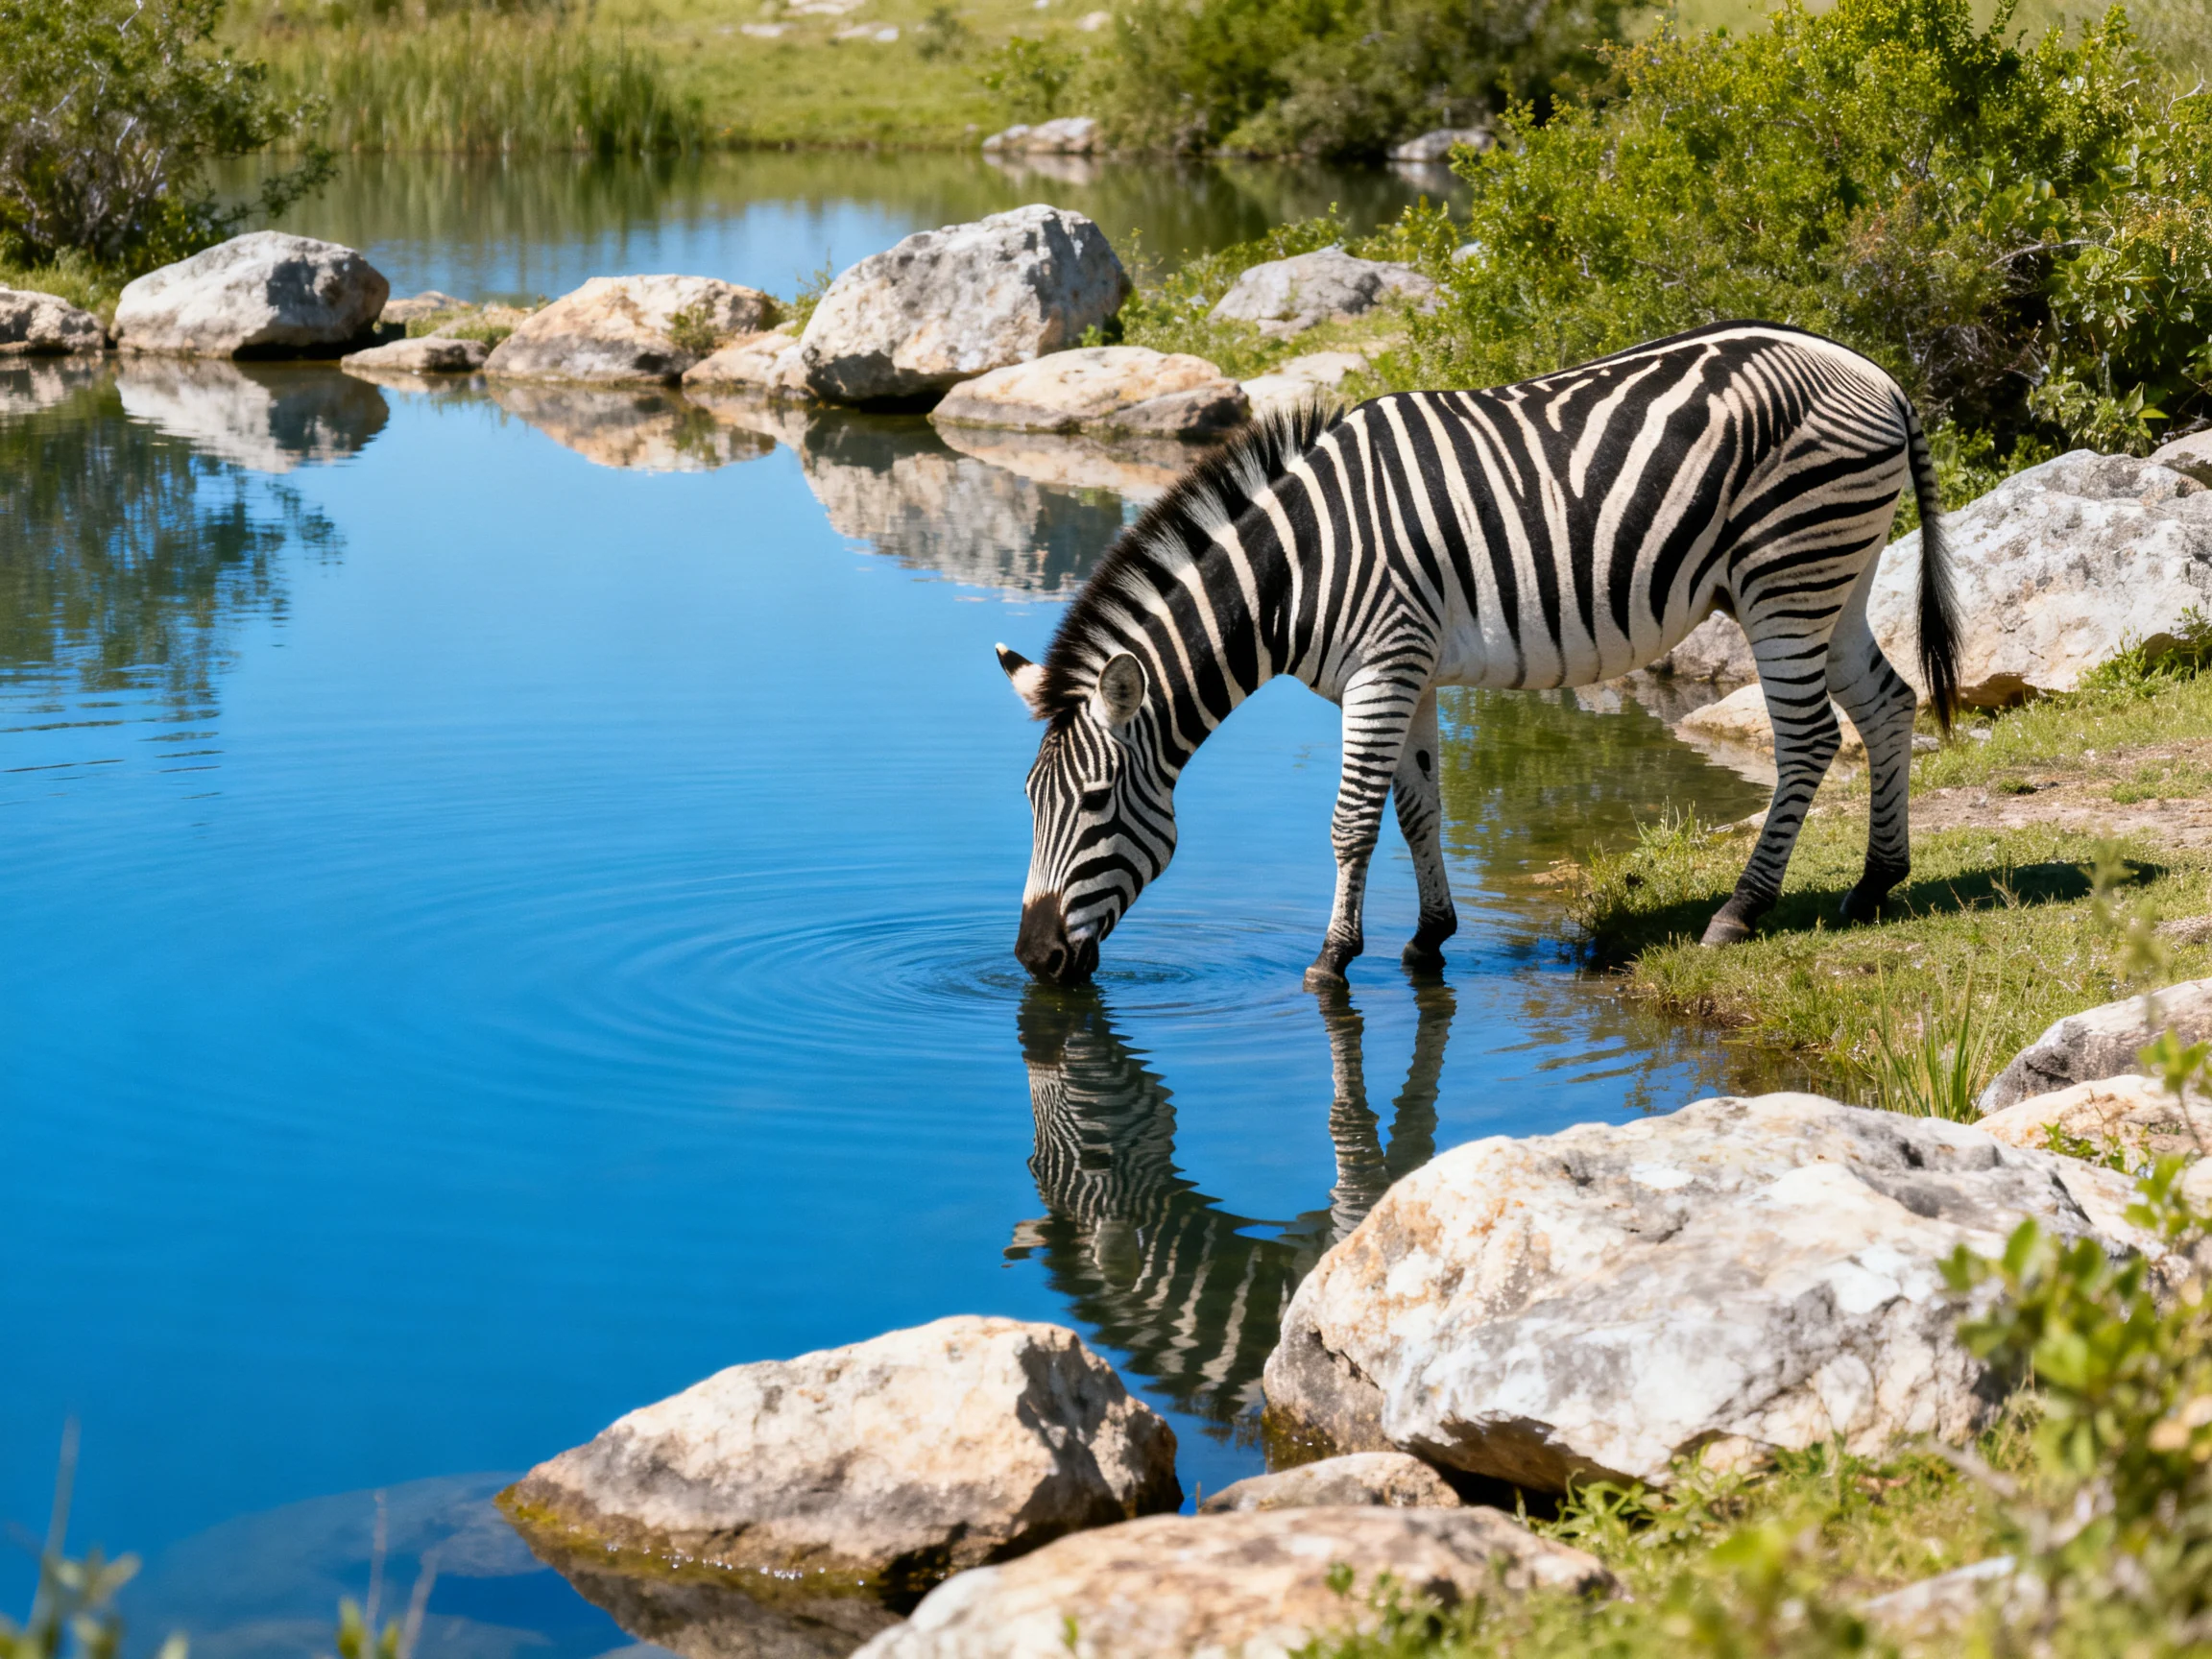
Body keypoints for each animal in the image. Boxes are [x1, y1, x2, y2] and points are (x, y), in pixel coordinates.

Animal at [996, 321, 1961, 987]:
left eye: (1093, 802)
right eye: (1028, 804)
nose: (1035, 960)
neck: (1296, 569)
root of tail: (1879, 375)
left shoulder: (1384, 665)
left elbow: (1352, 821)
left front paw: (1332, 960)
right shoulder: (1406, 671)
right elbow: (1418, 809)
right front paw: (1429, 938)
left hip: (1785, 574)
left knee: (1808, 739)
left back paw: (1741, 911)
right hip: (1838, 575)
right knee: (1888, 703)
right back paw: (1875, 886)